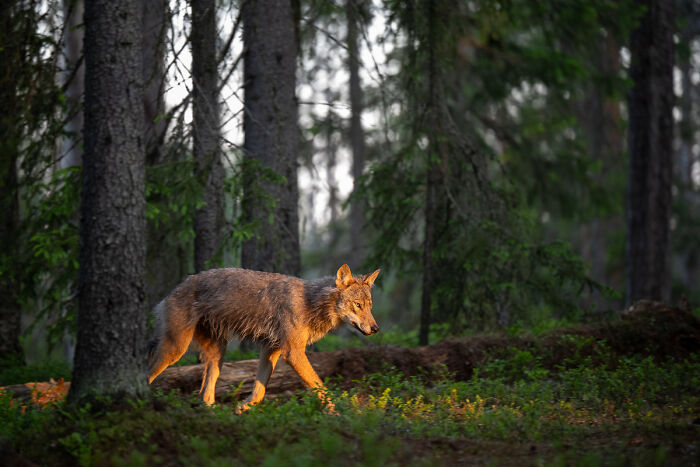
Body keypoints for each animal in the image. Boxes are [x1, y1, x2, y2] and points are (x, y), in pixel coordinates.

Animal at [147, 264, 380, 412]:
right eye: (357, 305)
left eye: (370, 306)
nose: (376, 329)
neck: (311, 303)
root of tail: (175, 288)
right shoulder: (293, 353)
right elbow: (321, 388)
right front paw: (339, 414)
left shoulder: (271, 350)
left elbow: (259, 393)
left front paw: (240, 410)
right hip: (175, 350)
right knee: (147, 371)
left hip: (217, 356)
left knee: (205, 394)